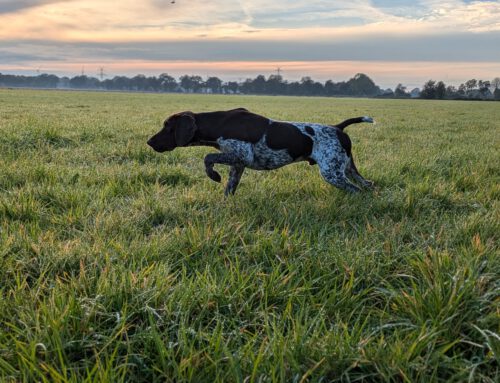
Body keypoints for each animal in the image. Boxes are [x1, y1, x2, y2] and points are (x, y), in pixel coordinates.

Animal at [146, 109, 374, 196]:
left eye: (167, 127)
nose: (149, 142)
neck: (219, 124)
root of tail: (337, 128)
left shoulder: (241, 156)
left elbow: (207, 157)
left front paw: (214, 175)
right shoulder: (237, 164)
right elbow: (229, 188)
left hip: (332, 172)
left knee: (356, 190)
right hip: (347, 167)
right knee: (367, 184)